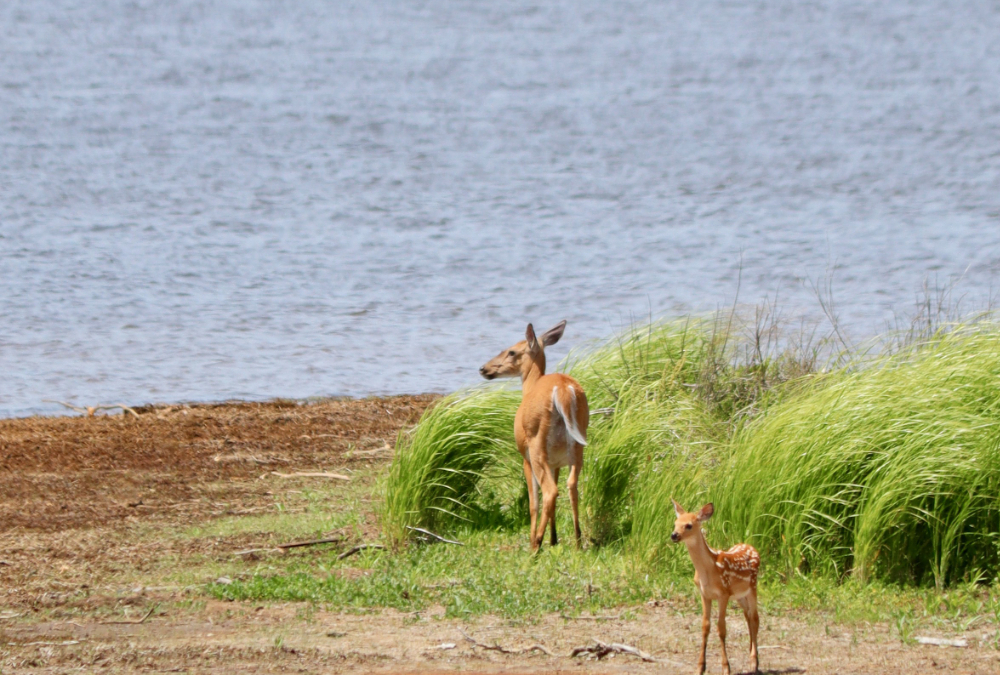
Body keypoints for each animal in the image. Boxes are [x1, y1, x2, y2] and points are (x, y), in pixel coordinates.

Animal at [480, 320, 588, 548]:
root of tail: (563, 391)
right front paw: (554, 538)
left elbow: (533, 503)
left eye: (511, 351)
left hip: (537, 445)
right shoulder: (556, 462)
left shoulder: (525, 457)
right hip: (577, 444)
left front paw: (538, 538)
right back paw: (577, 541)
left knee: (550, 492)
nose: (484, 368)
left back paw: (535, 544)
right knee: (571, 485)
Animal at [672, 500, 756, 672]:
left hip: (753, 587)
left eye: (689, 525)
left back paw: (754, 663)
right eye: (675, 523)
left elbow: (721, 628)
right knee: (748, 616)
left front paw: (726, 668)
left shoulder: (723, 593)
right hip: (740, 595)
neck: (707, 571)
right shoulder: (705, 594)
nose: (674, 535)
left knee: (755, 619)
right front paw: (700, 667)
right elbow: (705, 626)